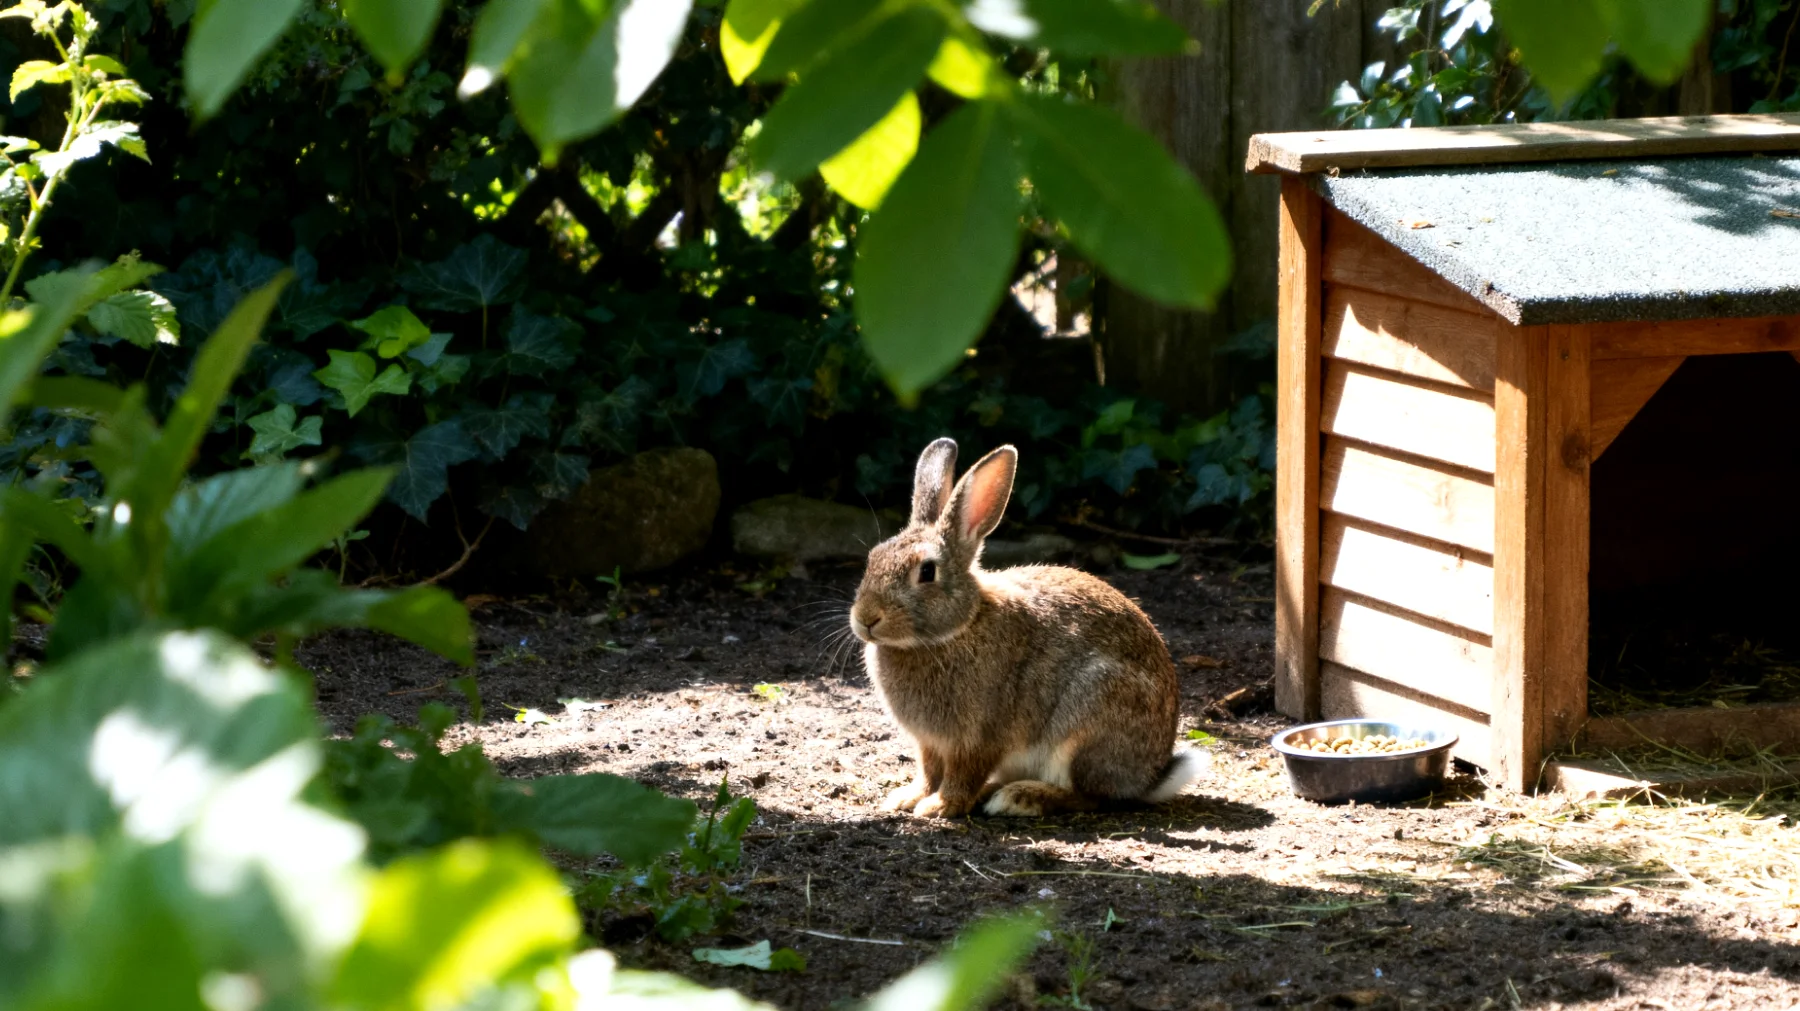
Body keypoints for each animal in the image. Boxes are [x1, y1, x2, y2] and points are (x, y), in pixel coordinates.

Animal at [849, 437, 1208, 818]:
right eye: (872, 558)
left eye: (927, 572)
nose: (866, 618)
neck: (960, 626)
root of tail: (1150, 777)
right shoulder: (929, 744)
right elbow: (929, 770)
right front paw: (907, 798)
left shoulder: (978, 737)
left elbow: (962, 775)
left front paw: (939, 807)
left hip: (1088, 720)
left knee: (1088, 796)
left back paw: (1019, 797)